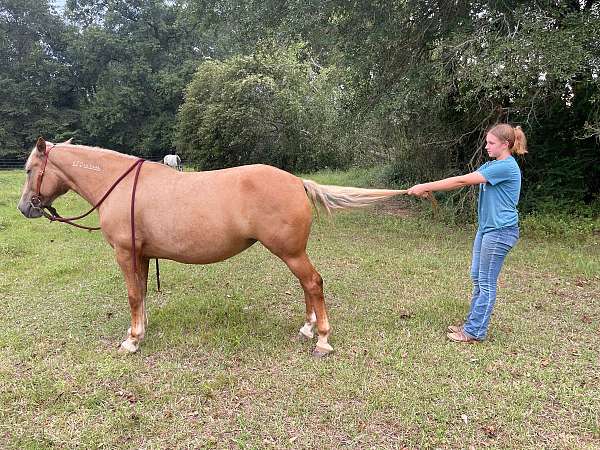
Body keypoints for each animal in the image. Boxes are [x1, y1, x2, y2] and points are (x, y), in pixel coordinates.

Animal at [17, 137, 408, 356]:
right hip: (292, 253)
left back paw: (322, 340)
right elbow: (140, 292)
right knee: (307, 286)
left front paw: (132, 340)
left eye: (29, 169)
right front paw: (140, 330)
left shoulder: (125, 253)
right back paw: (309, 328)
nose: (24, 208)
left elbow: (131, 294)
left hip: (291, 253)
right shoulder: (141, 254)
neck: (121, 185)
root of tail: (297, 181)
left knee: (313, 283)